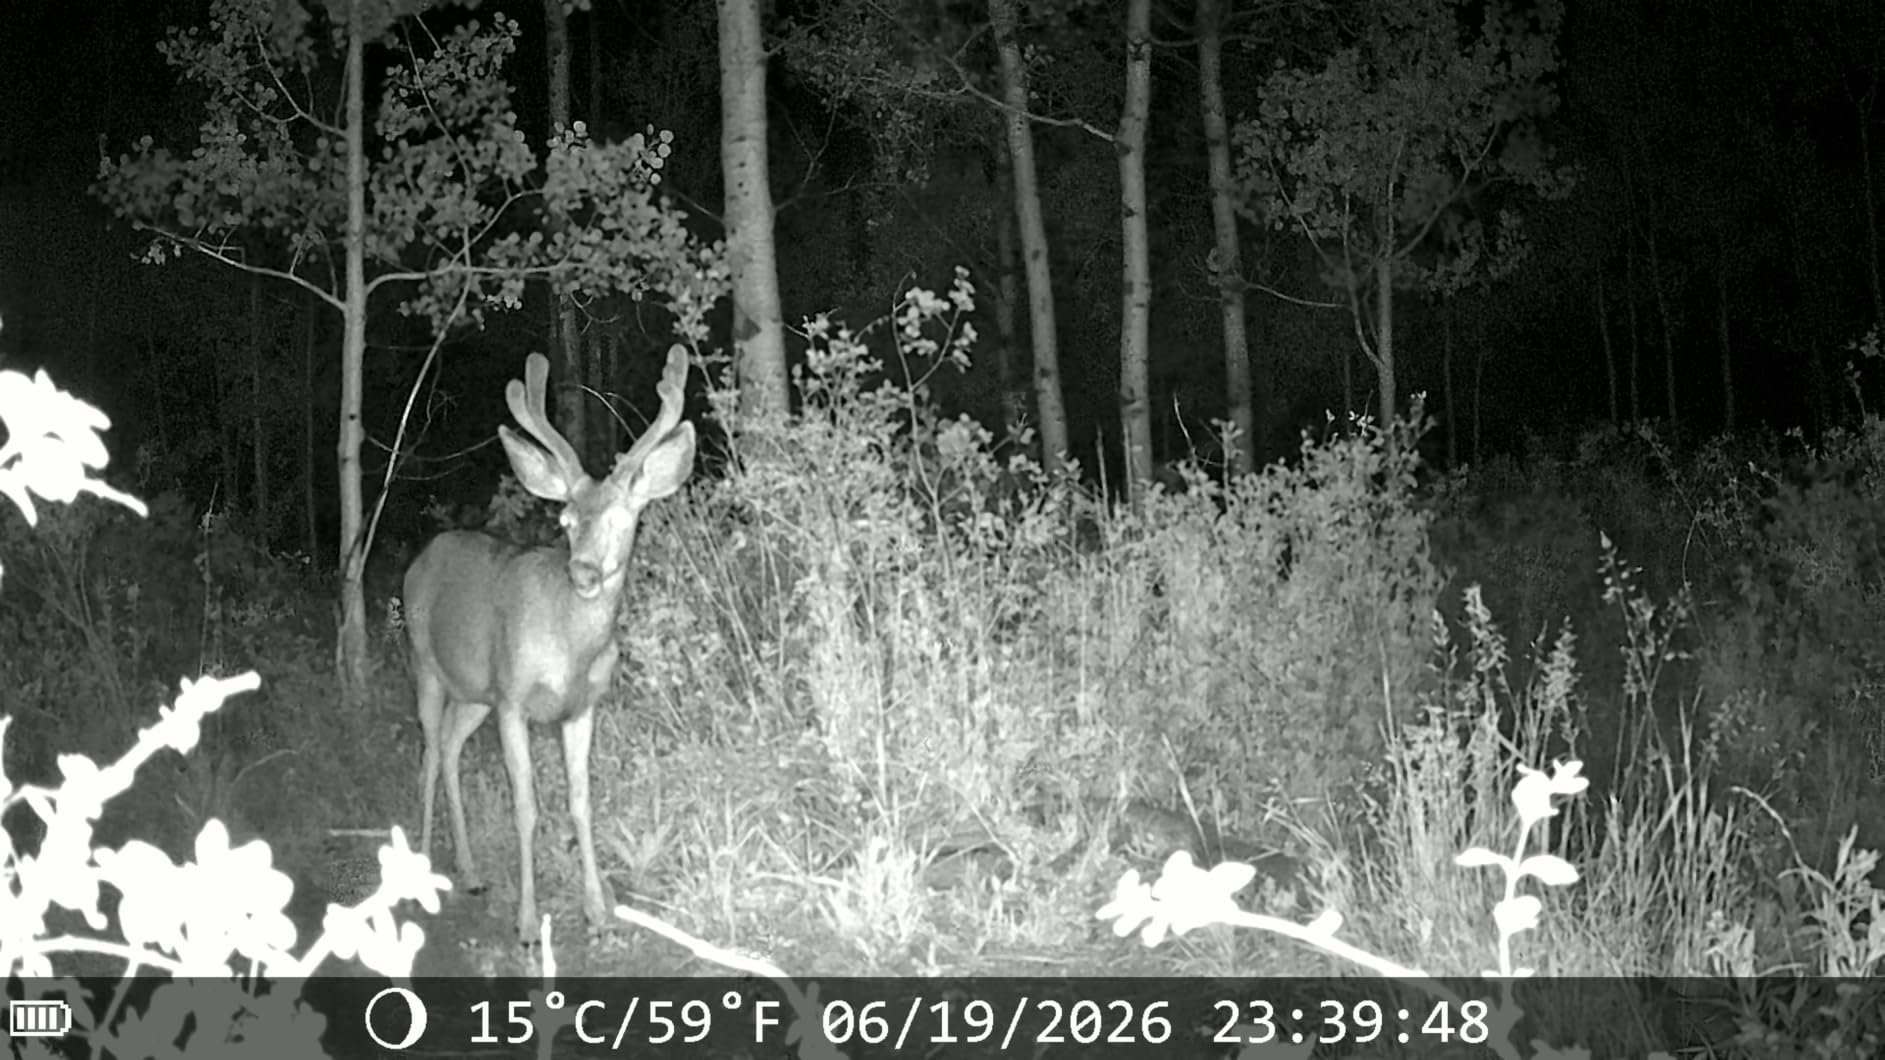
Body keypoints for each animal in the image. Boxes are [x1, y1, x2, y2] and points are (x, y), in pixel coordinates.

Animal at [402, 345, 695, 945]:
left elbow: (580, 803)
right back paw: (422, 859)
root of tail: (426, 554)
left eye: (624, 518)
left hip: (474, 692)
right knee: (429, 751)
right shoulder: (514, 698)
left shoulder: (580, 708)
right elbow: (526, 807)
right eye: (565, 519)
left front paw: (598, 913)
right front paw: (528, 923)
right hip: (425, 662)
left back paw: (469, 870)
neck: (570, 648)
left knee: (449, 748)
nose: (584, 571)